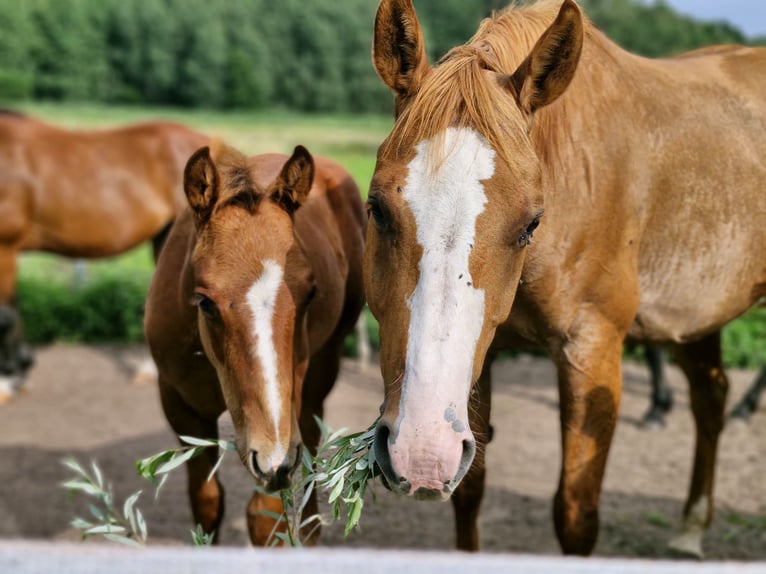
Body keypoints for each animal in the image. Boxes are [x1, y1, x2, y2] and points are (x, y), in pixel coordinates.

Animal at [144, 141, 365, 545]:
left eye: (310, 293)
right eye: (205, 301)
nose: (275, 455)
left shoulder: (282, 424)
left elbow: (265, 517)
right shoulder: (181, 407)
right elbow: (207, 502)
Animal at [366, 0, 766, 557]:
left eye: (531, 223)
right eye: (377, 208)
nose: (421, 452)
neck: (575, 168)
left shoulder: (591, 351)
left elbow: (575, 513)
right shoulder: (482, 360)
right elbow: (470, 494)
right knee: (711, 397)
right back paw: (689, 528)